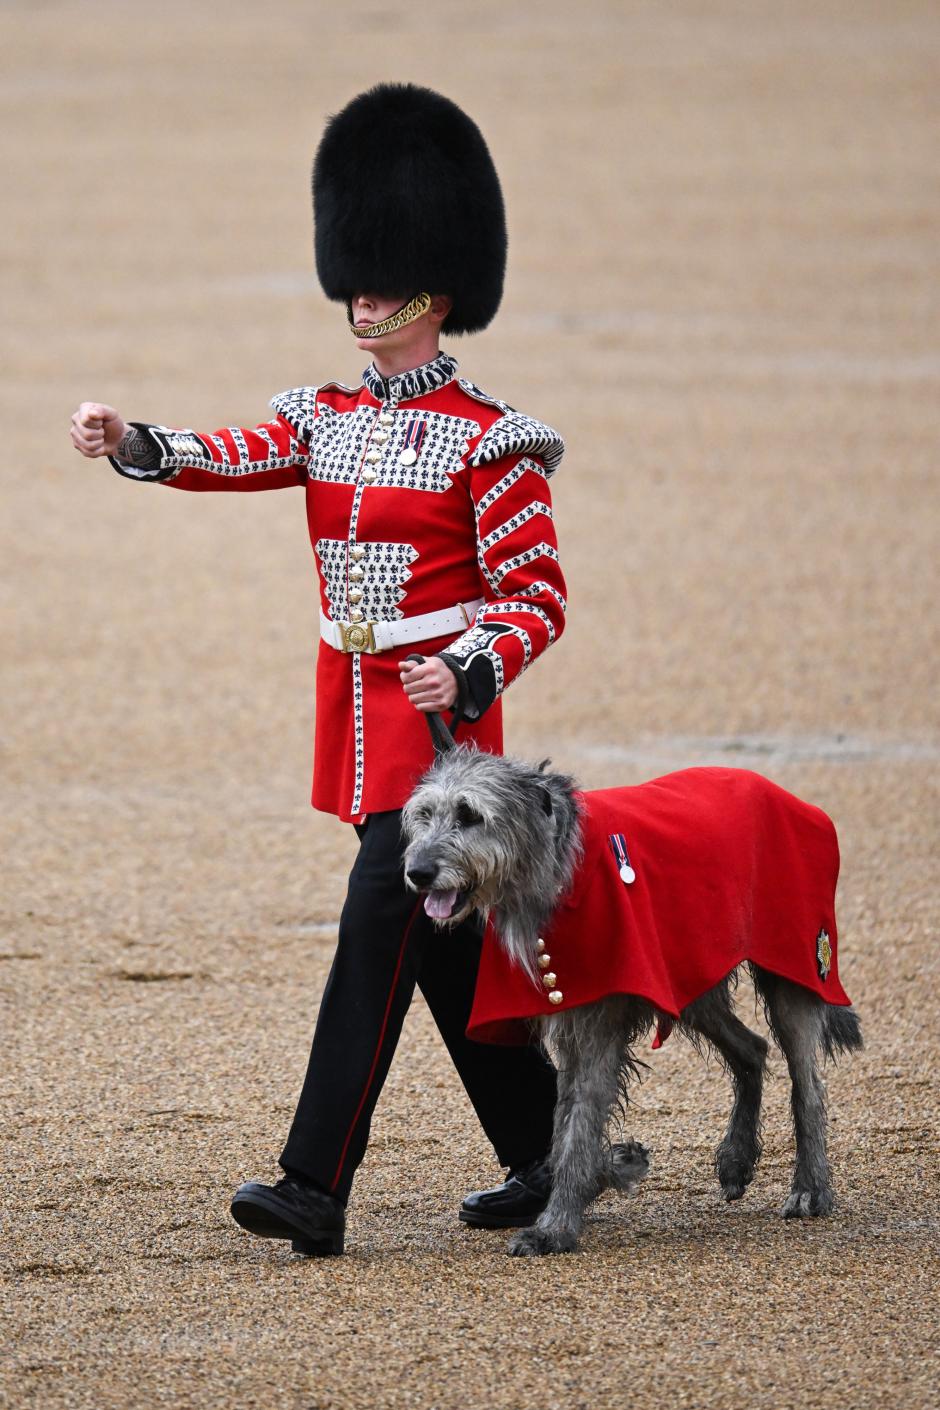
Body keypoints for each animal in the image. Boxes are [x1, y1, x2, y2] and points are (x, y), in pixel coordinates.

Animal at [400, 744, 862, 1263]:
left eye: (469, 814)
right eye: (424, 815)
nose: (417, 872)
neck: (558, 869)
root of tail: (793, 799)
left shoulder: (599, 1022)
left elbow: (579, 1126)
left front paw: (555, 1227)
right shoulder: (572, 1013)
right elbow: (566, 1123)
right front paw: (609, 1170)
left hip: (798, 961)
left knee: (809, 1085)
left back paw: (810, 1188)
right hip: (691, 973)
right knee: (752, 1050)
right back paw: (736, 1160)